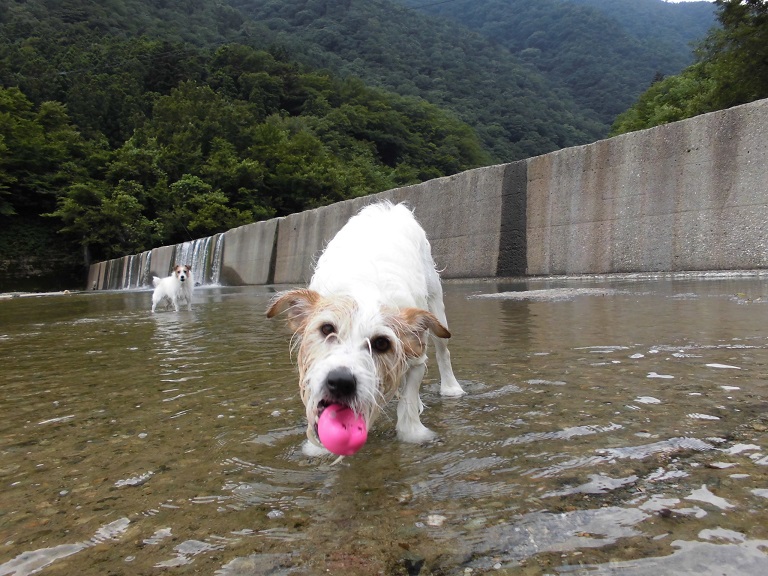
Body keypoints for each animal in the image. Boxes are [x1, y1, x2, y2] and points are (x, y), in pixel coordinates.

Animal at [268, 202, 464, 454]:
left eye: (381, 343)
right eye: (327, 329)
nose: (340, 381)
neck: (364, 289)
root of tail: (391, 207)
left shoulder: (416, 357)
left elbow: (408, 407)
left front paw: (415, 434)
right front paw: (317, 448)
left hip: (436, 307)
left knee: (443, 352)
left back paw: (451, 387)